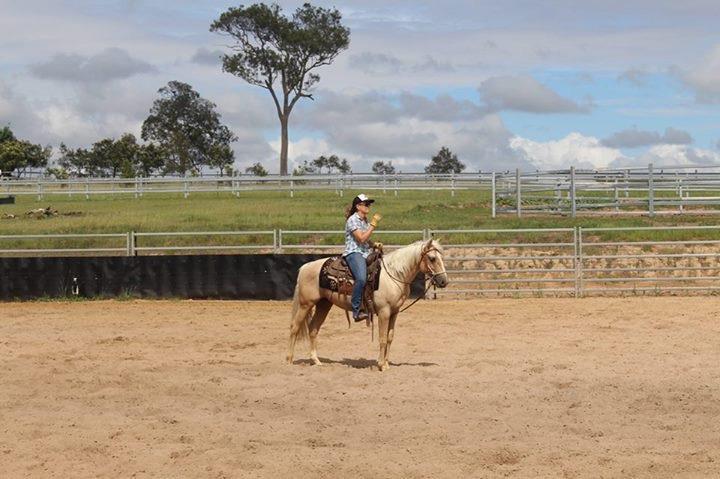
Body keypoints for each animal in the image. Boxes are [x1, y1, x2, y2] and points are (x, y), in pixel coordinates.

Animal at [286, 238, 449, 371]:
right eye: (432, 258)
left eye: (441, 257)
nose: (444, 281)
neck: (394, 275)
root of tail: (305, 267)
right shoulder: (384, 312)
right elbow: (382, 338)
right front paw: (381, 365)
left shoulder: (394, 312)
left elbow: (390, 337)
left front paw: (387, 363)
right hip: (305, 304)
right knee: (294, 327)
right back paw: (289, 360)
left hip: (323, 304)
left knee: (313, 329)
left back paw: (316, 360)